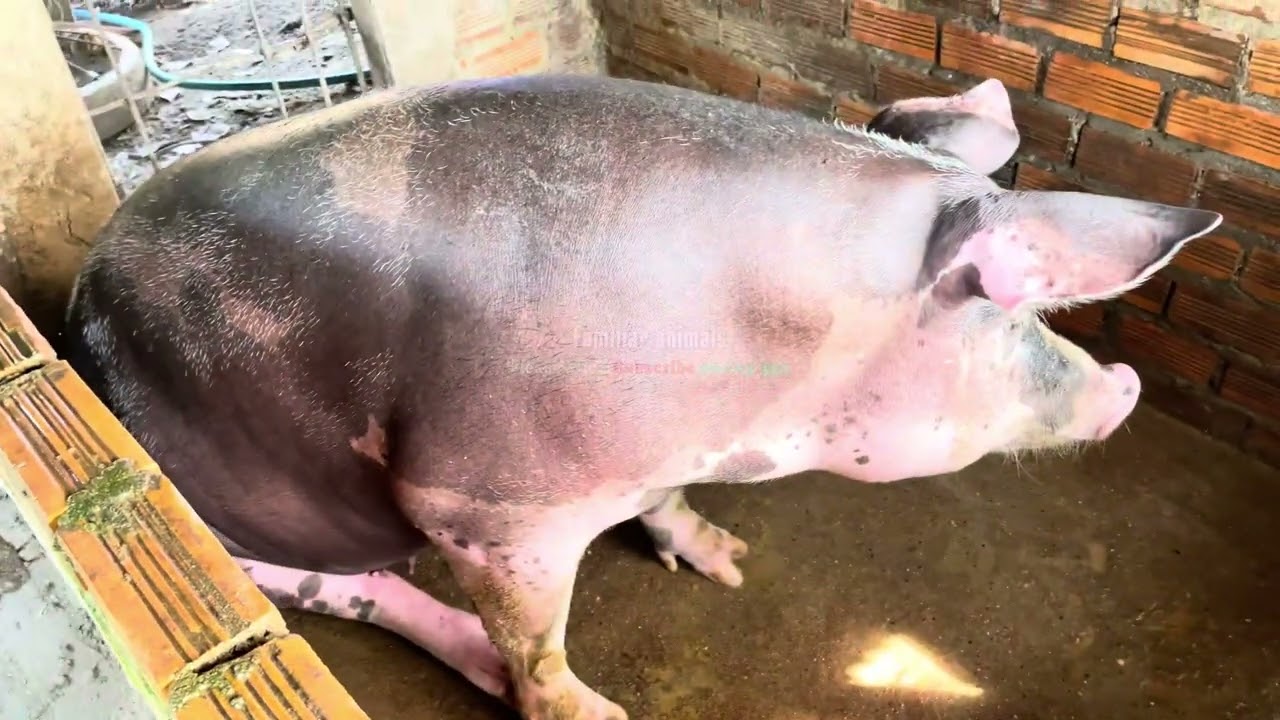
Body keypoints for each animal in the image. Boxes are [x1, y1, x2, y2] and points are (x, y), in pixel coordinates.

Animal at [61, 73, 1221, 720]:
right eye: (1010, 312)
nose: (1121, 383)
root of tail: (76, 309)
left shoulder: (655, 462)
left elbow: (663, 505)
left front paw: (730, 565)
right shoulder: (480, 503)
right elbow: (536, 645)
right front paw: (596, 714)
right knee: (342, 590)